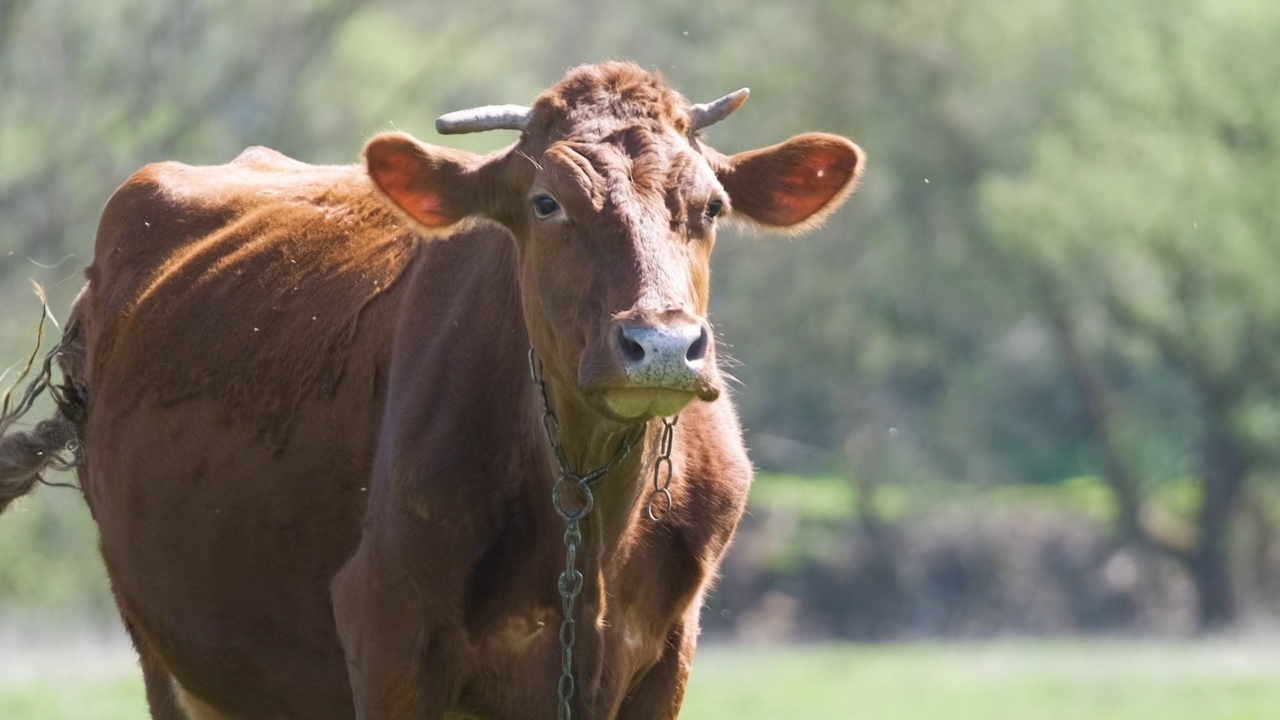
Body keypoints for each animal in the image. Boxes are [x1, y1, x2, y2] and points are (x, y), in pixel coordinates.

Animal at [0, 63, 865, 717]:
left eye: (711, 206)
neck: (585, 519)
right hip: (169, 652)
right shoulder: (386, 629)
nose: (660, 346)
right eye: (546, 202)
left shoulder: (664, 654)